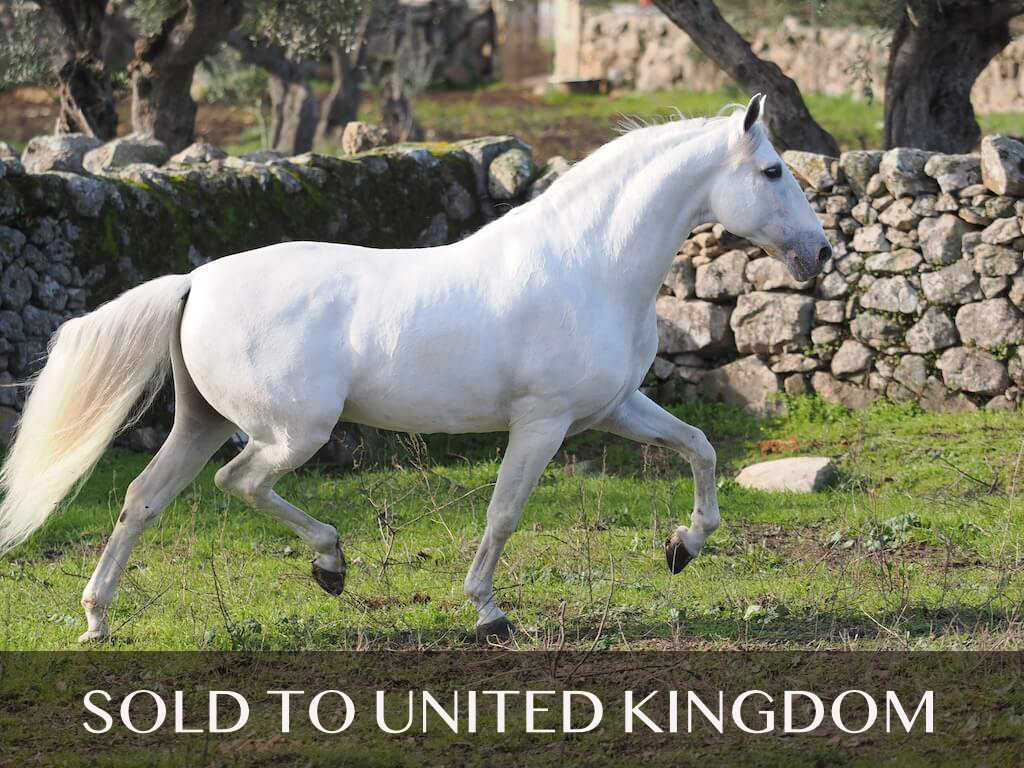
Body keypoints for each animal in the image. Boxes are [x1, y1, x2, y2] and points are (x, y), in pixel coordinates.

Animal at [0, 95, 829, 643]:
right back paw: (330, 563)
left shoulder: (615, 407)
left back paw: (97, 621)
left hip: (202, 424)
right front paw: (490, 614)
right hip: (290, 432)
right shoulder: (545, 420)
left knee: (141, 499)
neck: (588, 264)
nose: (819, 254)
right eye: (772, 170)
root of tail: (195, 281)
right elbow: (503, 512)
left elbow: (700, 448)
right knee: (239, 483)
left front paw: (684, 548)